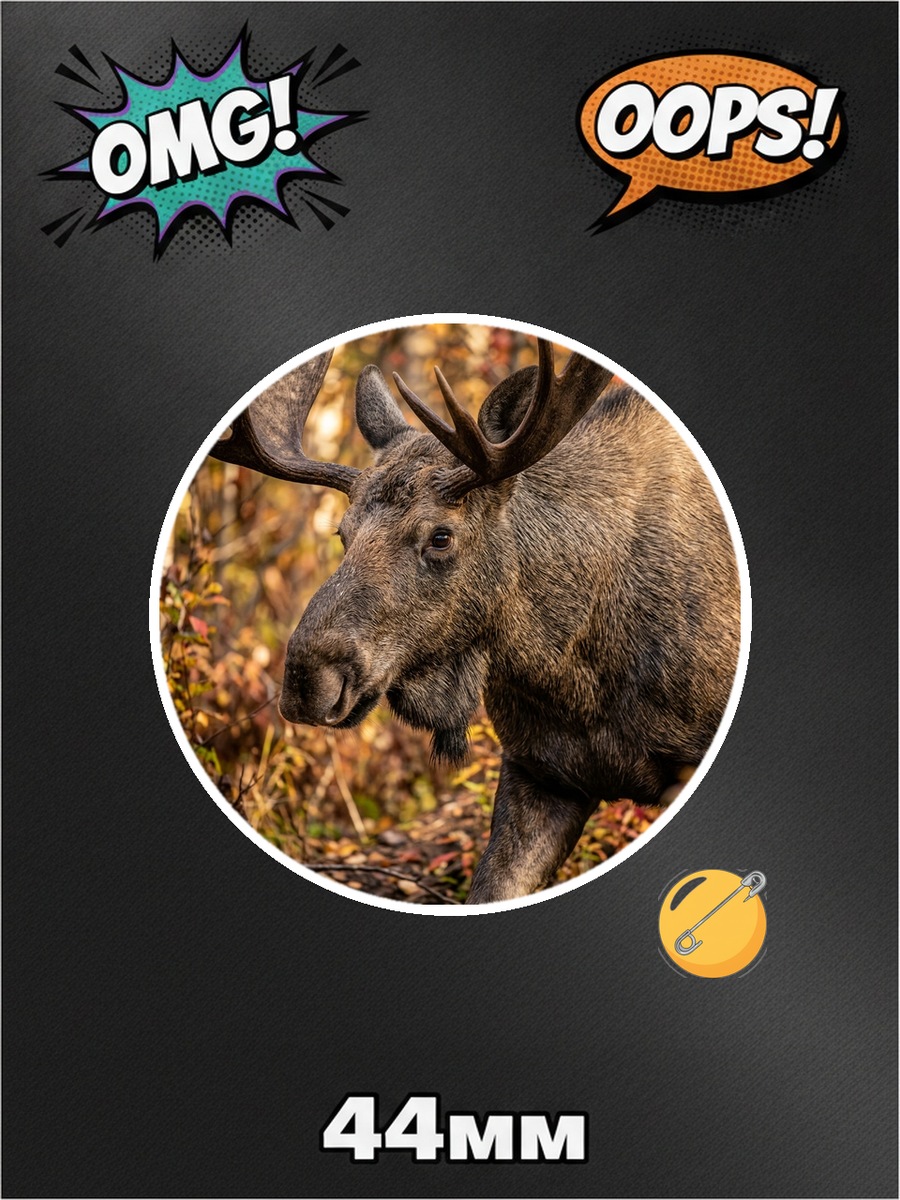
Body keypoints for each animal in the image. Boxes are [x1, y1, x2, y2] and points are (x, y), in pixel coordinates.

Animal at [211, 336, 740, 903]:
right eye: (342, 533)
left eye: (441, 536)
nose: (306, 680)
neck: (578, 678)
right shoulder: (538, 771)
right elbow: (490, 888)